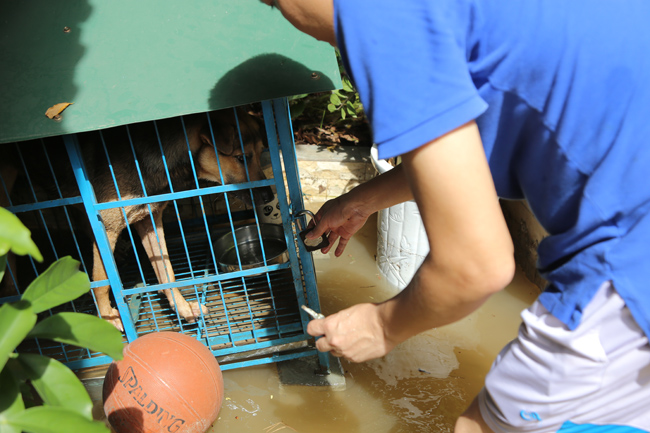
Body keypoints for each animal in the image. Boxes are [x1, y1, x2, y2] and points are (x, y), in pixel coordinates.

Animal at [0, 106, 272, 330]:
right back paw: (11, 291)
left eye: (261, 153)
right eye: (241, 158)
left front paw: (182, 308)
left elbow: (166, 272)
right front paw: (108, 316)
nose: (268, 195)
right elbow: (102, 280)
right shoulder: (108, 227)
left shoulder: (149, 218)